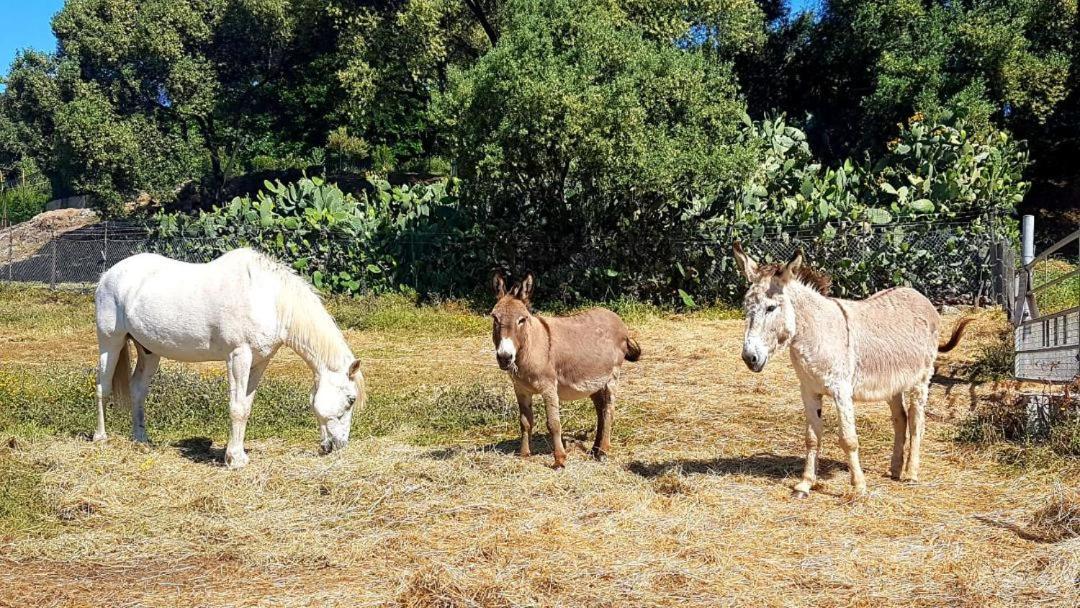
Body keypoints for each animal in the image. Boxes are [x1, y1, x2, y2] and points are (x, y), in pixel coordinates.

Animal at [93, 247, 362, 466]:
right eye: (351, 400)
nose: (338, 446)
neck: (269, 299)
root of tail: (107, 275)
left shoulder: (259, 362)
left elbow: (246, 407)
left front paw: (237, 454)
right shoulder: (238, 357)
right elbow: (236, 407)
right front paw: (234, 460)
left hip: (149, 352)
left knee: (138, 389)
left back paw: (141, 439)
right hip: (110, 342)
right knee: (103, 388)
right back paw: (101, 437)